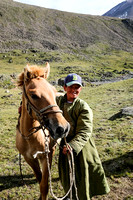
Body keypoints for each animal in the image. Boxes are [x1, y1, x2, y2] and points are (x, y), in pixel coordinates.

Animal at [15, 62, 69, 200]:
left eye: (54, 92)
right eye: (34, 95)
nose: (63, 128)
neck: (30, 137)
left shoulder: (46, 155)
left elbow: (44, 185)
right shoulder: (29, 159)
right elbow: (39, 179)